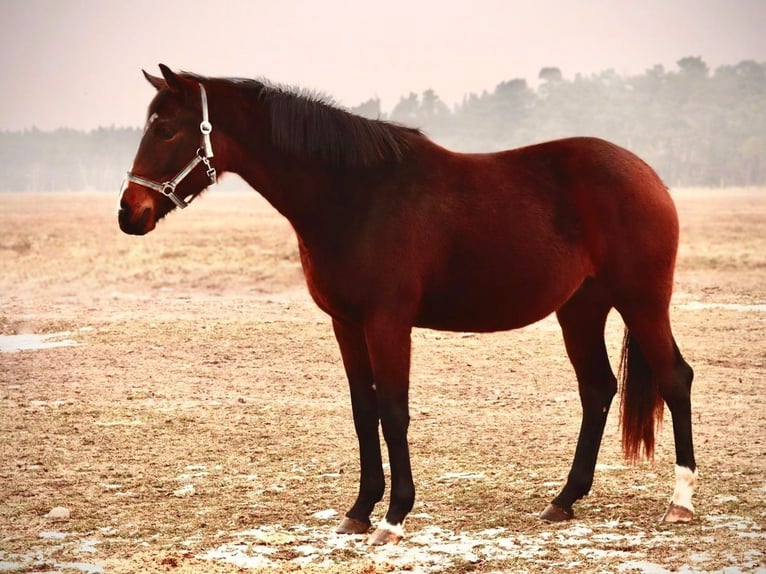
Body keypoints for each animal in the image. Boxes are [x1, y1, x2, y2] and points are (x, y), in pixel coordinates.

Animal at [118, 64, 697, 545]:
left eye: (167, 130)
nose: (129, 213)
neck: (356, 196)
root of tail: (647, 174)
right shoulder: (347, 324)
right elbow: (364, 411)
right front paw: (359, 511)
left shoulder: (388, 323)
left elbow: (394, 413)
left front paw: (394, 518)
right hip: (580, 309)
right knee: (597, 390)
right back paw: (564, 500)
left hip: (643, 301)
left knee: (674, 379)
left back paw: (680, 502)